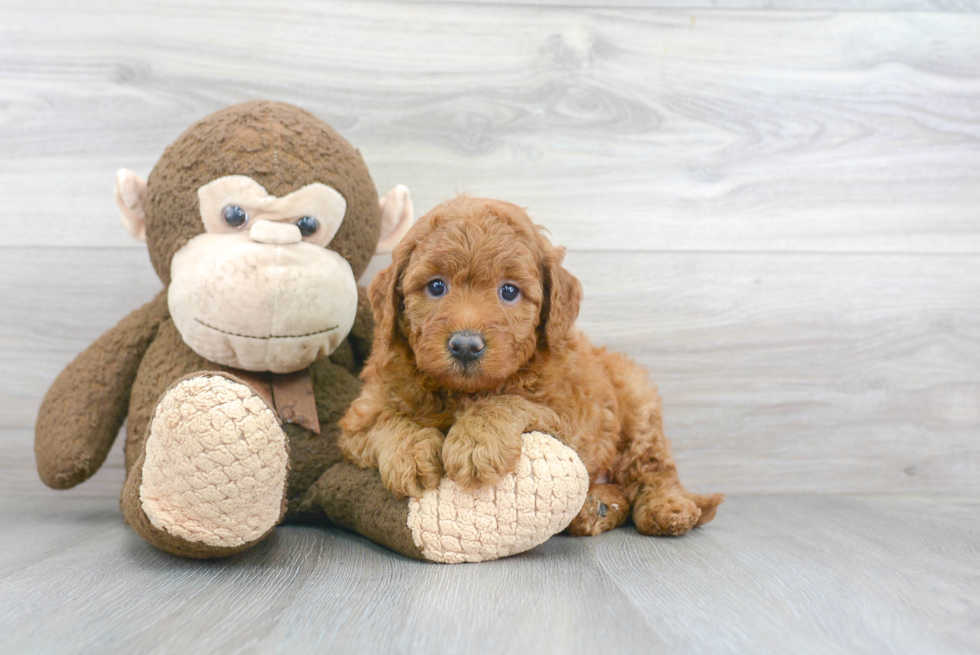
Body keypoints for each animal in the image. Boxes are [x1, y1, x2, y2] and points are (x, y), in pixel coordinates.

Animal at [340, 197, 724, 536]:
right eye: (436, 286)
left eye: (509, 291)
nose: (465, 345)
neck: (462, 392)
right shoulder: (361, 415)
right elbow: (385, 419)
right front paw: (410, 455)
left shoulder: (571, 417)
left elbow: (507, 402)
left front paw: (476, 442)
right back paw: (597, 507)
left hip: (638, 404)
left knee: (654, 471)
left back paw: (666, 508)